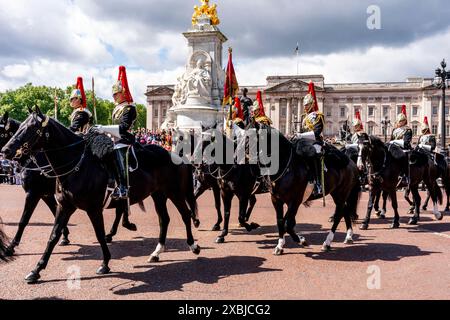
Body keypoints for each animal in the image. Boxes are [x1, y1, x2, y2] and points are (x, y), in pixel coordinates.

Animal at [1, 107, 199, 282]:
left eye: (32, 128)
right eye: (19, 127)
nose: (6, 151)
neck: (74, 164)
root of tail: (176, 154)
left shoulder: (89, 207)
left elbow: (97, 233)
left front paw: (105, 263)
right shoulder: (63, 204)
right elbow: (52, 236)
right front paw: (36, 270)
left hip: (174, 192)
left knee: (185, 214)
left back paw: (193, 245)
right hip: (158, 194)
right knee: (163, 219)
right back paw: (156, 252)